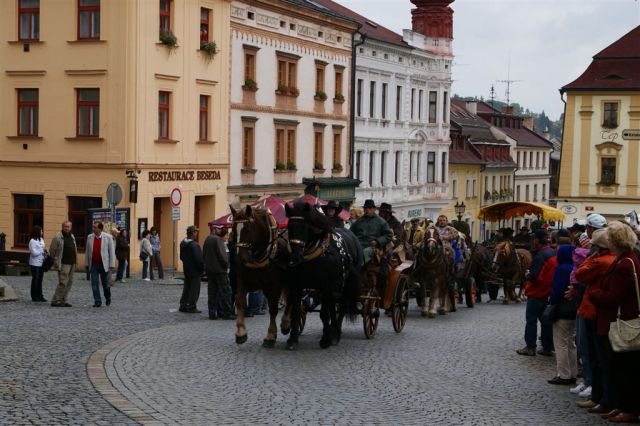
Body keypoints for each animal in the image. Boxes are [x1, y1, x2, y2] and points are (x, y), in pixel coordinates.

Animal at [230, 205, 290, 348]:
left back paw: (286, 324)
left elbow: (273, 309)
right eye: (233, 230)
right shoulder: (243, 280)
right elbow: (240, 301)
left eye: (247, 229)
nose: (239, 258)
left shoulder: (275, 285)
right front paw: (241, 333)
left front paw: (270, 335)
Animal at [286, 202, 364, 350]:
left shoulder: (326, 285)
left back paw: (336, 333)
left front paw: (325, 339)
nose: (295, 258)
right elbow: (297, 311)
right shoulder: (296, 285)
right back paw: (332, 330)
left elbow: (324, 314)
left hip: (347, 283)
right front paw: (292, 339)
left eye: (304, 227)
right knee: (334, 306)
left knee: (342, 306)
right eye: (289, 227)